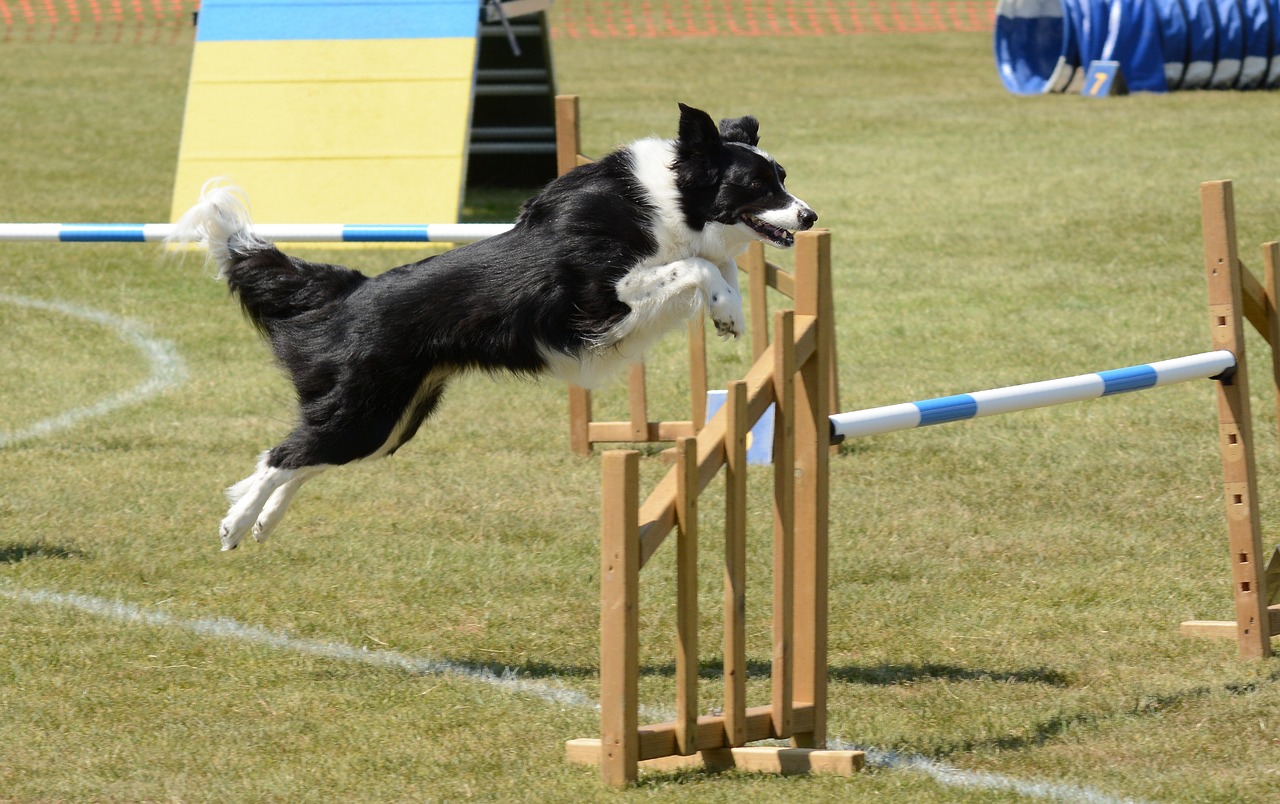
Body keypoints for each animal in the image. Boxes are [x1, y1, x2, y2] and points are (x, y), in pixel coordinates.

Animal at [170, 103, 814, 550]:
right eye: (757, 185)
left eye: (784, 175)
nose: (809, 216)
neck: (673, 200)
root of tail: (350, 289)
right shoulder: (601, 302)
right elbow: (697, 264)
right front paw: (724, 305)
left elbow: (718, 265)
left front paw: (730, 312)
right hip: (367, 408)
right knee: (281, 452)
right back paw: (236, 523)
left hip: (393, 423)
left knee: (303, 458)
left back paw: (263, 522)